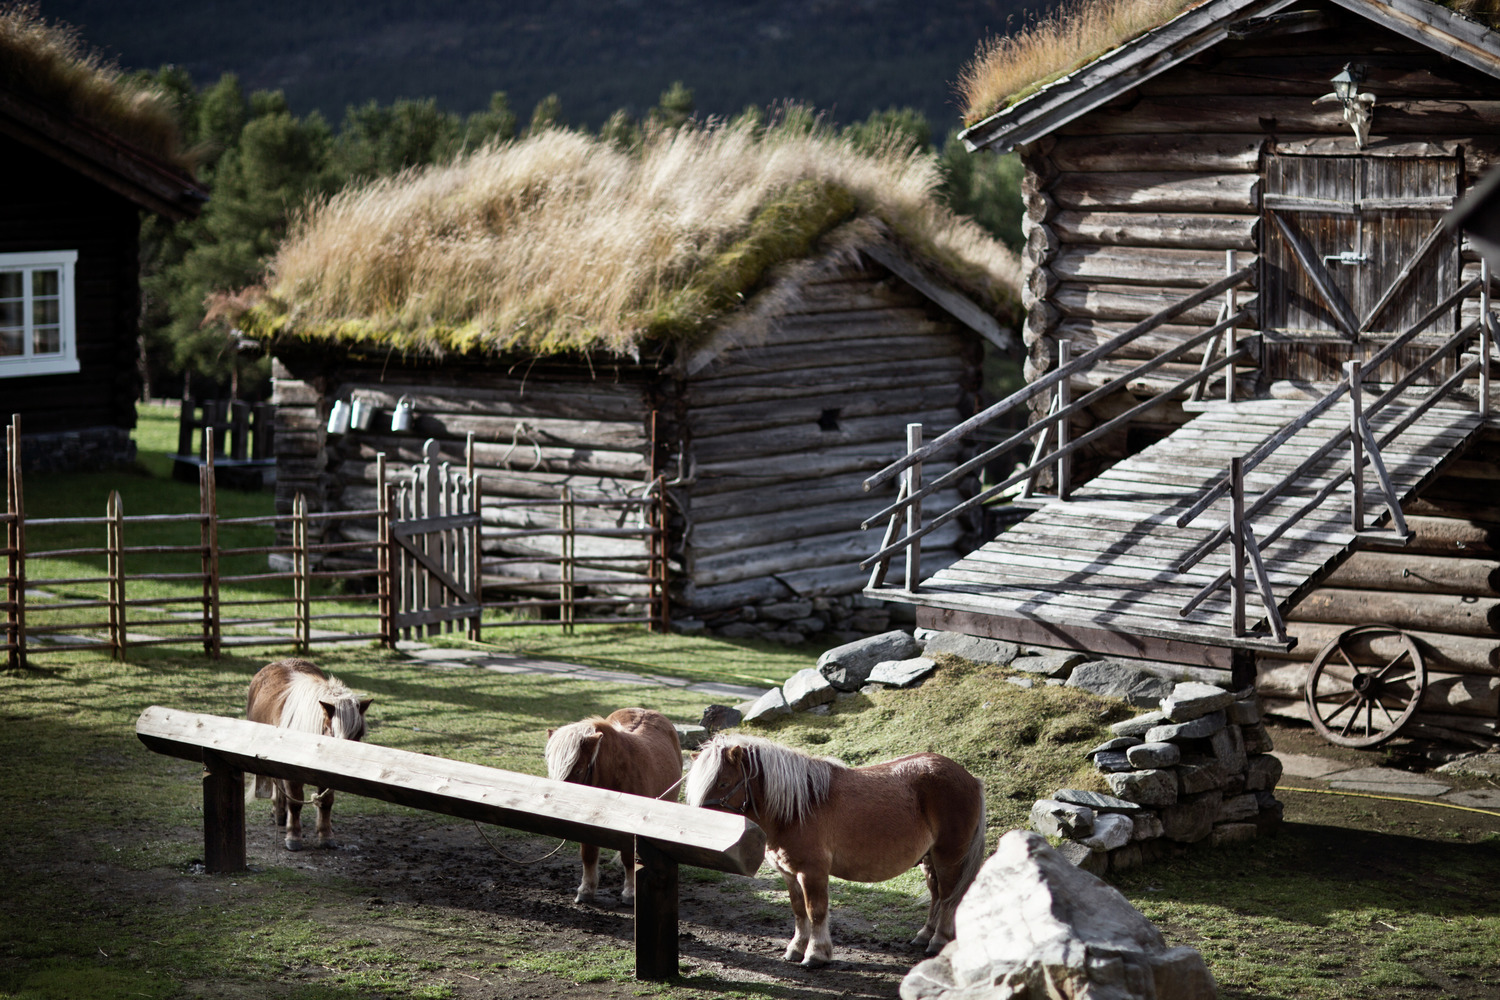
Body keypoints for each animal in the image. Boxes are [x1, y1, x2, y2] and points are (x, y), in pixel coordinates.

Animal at [246, 659, 372, 851]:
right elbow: (296, 803)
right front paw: (293, 837)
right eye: (332, 732)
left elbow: (326, 801)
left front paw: (325, 836)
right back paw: (279, 813)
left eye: (359, 734)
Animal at [687, 731, 990, 965]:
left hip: (949, 856)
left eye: (723, 782)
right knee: (937, 894)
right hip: (930, 859)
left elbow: (816, 911)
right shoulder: (789, 874)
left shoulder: (813, 873)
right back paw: (924, 935)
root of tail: (971, 778)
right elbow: (799, 912)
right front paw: (796, 949)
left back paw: (939, 941)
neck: (798, 808)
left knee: (949, 896)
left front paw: (816, 954)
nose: (700, 824)